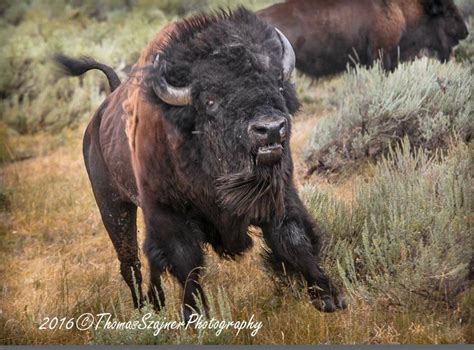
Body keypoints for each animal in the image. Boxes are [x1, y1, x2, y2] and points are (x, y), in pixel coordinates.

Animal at [55, 7, 346, 320]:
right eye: (210, 101)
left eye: (276, 84)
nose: (270, 129)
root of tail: (98, 119)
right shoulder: (169, 212)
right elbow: (186, 263)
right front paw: (196, 316)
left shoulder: (279, 196)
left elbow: (294, 239)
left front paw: (329, 297)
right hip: (113, 206)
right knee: (130, 262)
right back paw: (141, 310)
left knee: (150, 260)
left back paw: (155, 303)